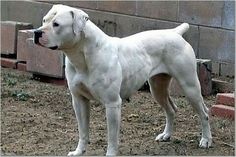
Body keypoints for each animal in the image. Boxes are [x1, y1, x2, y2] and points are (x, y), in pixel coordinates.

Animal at [33, 4, 212, 155]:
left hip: (190, 87)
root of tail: (175, 32)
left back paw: (206, 140)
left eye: (56, 24)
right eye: (44, 21)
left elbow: (112, 137)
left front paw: (110, 154)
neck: (83, 55)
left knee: (204, 113)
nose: (36, 32)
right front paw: (79, 152)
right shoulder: (79, 100)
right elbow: (83, 131)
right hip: (157, 88)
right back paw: (166, 135)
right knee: (171, 109)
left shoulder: (112, 104)